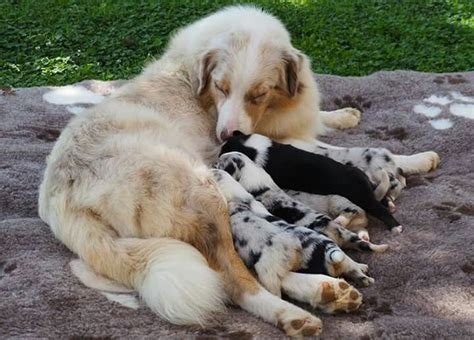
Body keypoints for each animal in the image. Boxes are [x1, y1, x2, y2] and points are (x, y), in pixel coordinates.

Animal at [222, 131, 404, 232]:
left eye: (224, 150)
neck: (254, 147)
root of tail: (361, 175)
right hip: (367, 191)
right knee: (381, 199)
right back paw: (391, 205)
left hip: (361, 196)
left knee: (379, 209)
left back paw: (395, 227)